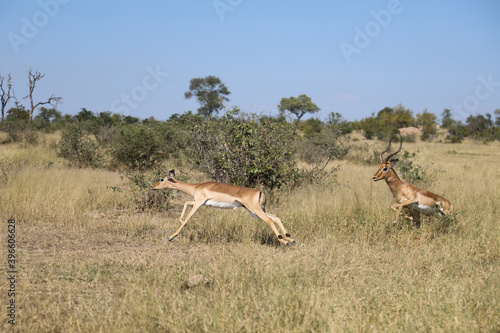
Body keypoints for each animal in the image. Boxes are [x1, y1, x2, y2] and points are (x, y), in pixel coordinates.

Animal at [150, 169, 294, 244]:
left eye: (162, 179)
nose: (152, 186)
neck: (196, 187)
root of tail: (260, 192)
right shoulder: (200, 203)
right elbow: (185, 205)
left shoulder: (198, 203)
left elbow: (187, 218)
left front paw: (171, 237)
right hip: (255, 211)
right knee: (276, 217)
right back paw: (290, 239)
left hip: (255, 210)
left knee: (269, 220)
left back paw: (283, 240)